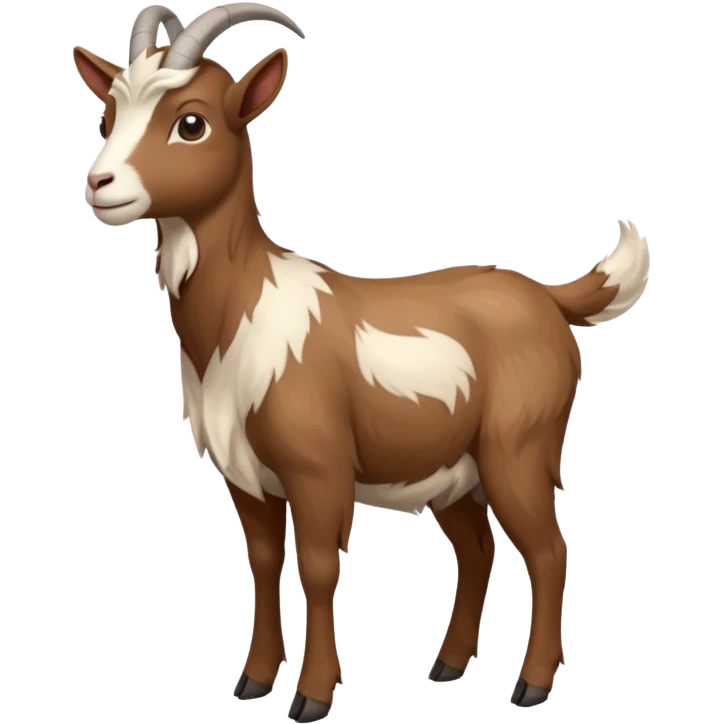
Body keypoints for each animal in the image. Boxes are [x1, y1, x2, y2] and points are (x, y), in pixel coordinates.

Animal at [73, 3, 652, 719]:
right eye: (107, 117)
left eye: (191, 122)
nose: (100, 184)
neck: (243, 313)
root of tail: (547, 295)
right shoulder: (246, 476)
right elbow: (263, 562)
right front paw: (253, 681)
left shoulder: (318, 468)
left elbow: (319, 567)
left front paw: (313, 695)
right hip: (451, 468)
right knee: (477, 548)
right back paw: (447, 666)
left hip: (518, 447)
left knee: (547, 551)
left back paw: (531, 685)